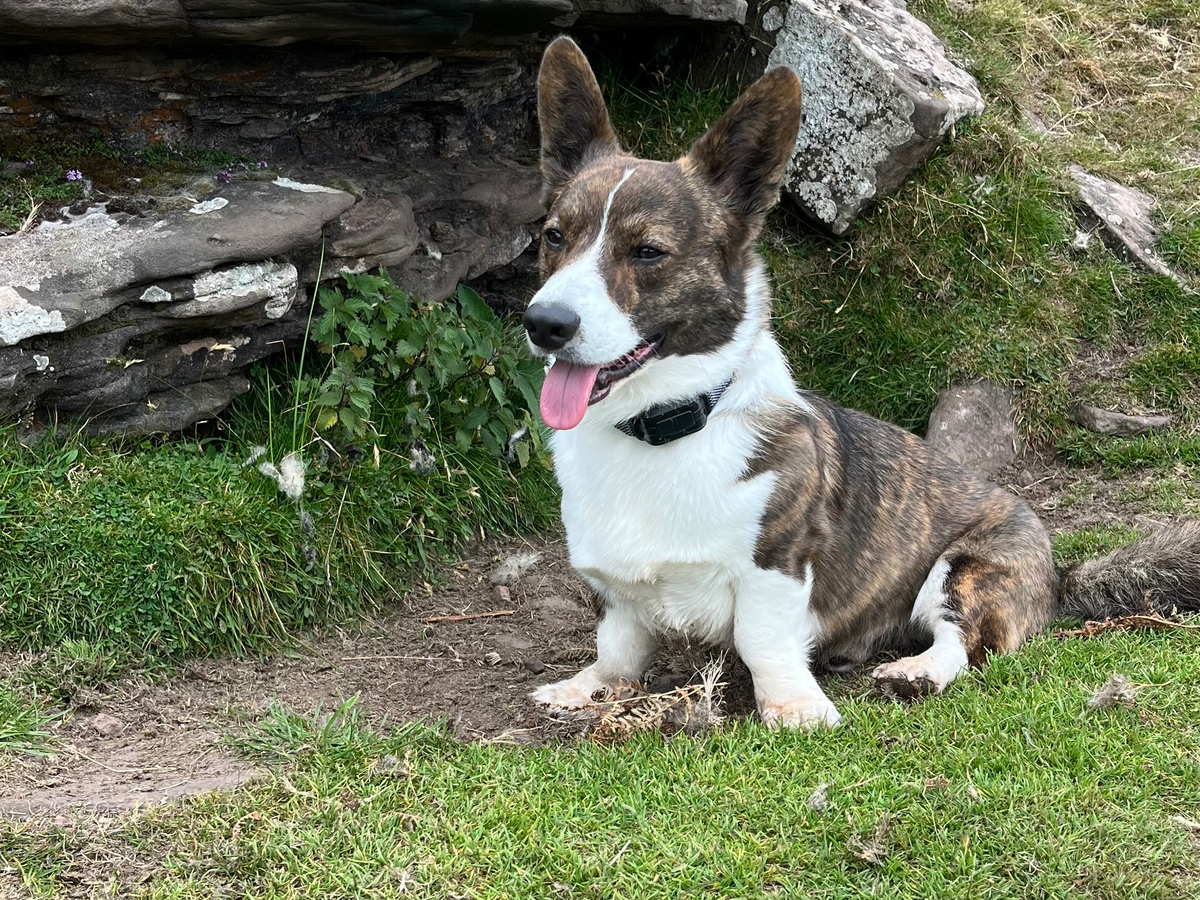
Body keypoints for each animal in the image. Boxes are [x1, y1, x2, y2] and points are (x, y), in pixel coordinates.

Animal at [521, 36, 1200, 729]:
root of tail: (1059, 573)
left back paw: (916, 672)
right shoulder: (617, 591)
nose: (543, 323)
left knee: (966, 642)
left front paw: (794, 709)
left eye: (648, 252)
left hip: (964, 569)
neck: (658, 430)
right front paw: (587, 689)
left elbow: (762, 640)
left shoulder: (777, 565)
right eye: (554, 237)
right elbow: (619, 644)